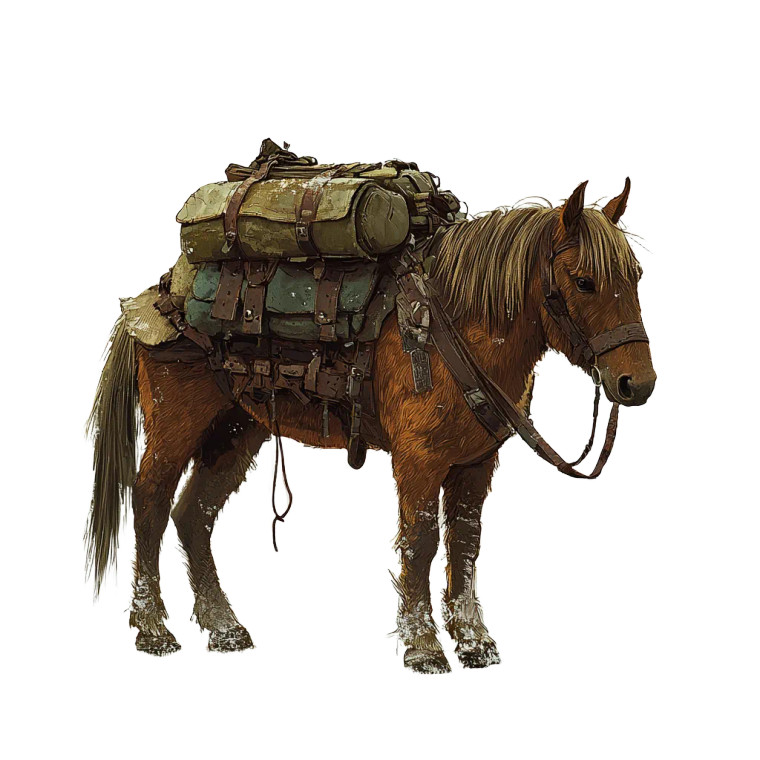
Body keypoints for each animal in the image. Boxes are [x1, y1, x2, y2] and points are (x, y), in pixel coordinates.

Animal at [86, 179, 656, 673]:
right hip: (176, 428)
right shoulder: (419, 461)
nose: (637, 383)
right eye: (584, 281)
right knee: (151, 505)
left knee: (193, 515)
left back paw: (224, 626)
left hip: (237, 431)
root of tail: (156, 298)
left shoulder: (476, 463)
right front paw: (423, 645)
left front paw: (474, 640)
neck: (452, 325)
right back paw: (152, 628)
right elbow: (421, 542)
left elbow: (466, 543)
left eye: (635, 276)